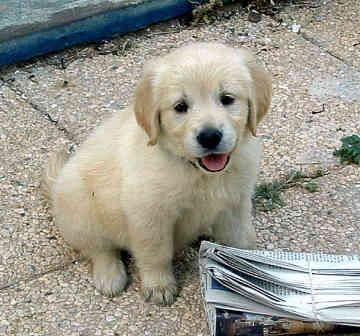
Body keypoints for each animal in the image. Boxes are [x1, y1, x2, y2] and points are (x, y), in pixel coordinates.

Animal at [42, 42, 272, 304]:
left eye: (227, 99)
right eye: (180, 107)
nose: (210, 136)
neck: (196, 171)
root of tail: (56, 183)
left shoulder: (235, 203)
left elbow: (240, 240)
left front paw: (249, 268)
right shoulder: (149, 214)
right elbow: (155, 253)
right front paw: (159, 286)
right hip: (79, 207)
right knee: (98, 248)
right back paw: (109, 275)